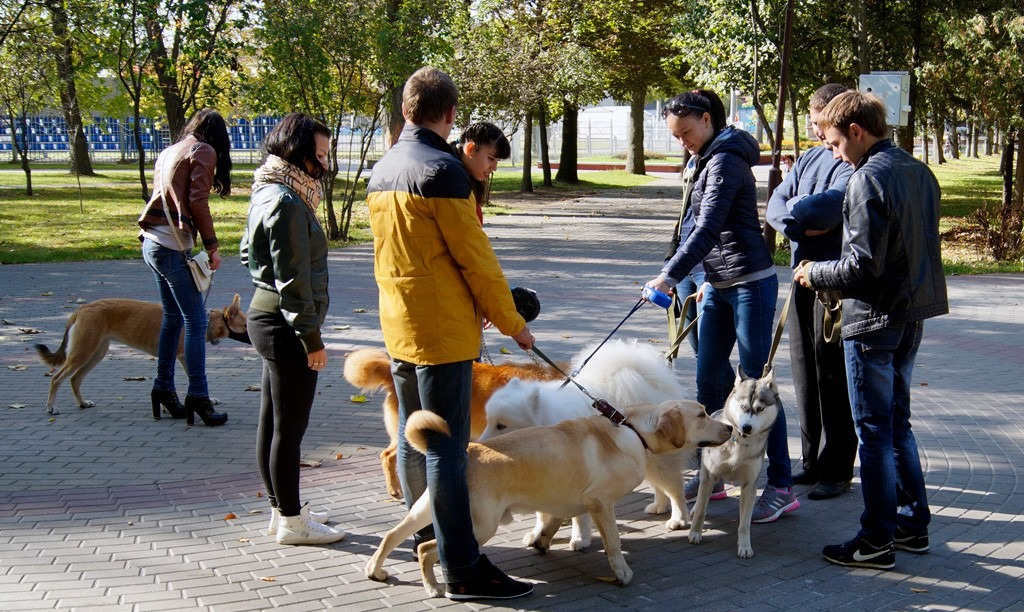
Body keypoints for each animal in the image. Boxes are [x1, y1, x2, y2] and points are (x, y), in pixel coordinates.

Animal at [35, 294, 246, 417]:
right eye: (245, 324)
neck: (206, 322)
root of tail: (80, 309)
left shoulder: (182, 357)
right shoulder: (178, 356)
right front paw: (169, 406)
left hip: (95, 353)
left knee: (75, 379)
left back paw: (82, 403)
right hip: (83, 352)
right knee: (57, 378)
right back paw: (51, 407)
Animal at [481, 339, 696, 552]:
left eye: (502, 425)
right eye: (488, 421)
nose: (481, 443)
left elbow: (579, 516)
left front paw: (579, 539)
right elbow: (541, 513)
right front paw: (536, 534)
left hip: (659, 461)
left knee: (675, 488)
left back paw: (678, 519)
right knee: (660, 485)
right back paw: (659, 506)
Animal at [688, 366, 782, 560]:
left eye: (760, 409)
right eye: (743, 407)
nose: (746, 427)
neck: (739, 445)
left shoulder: (749, 486)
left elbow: (744, 524)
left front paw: (745, 546)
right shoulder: (709, 476)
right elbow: (700, 510)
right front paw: (695, 533)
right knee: (702, 498)